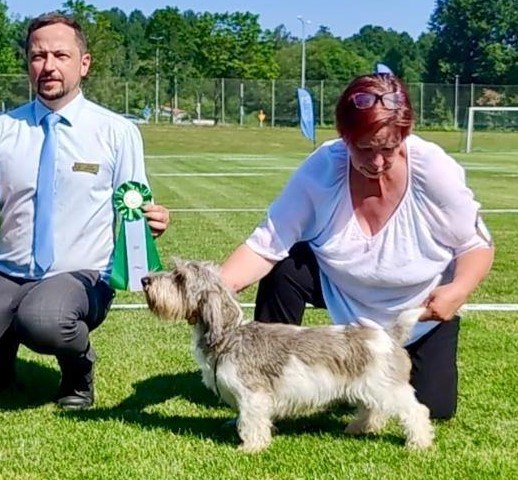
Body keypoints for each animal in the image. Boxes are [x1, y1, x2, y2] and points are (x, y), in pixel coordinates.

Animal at [141, 259, 434, 453]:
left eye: (180, 278)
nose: (145, 280)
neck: (230, 336)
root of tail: (387, 335)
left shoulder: (253, 396)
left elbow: (252, 421)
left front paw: (251, 447)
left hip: (390, 388)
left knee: (416, 412)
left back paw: (419, 443)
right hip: (368, 388)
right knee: (373, 410)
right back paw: (359, 428)